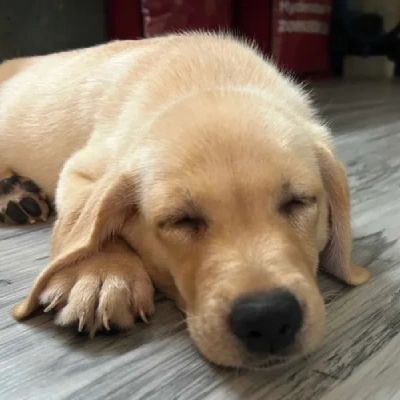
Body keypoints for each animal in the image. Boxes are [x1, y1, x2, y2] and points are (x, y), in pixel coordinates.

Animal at [0, 32, 370, 368]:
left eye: (298, 201)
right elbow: (90, 227)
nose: (267, 319)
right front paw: (99, 273)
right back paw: (13, 192)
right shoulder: (79, 169)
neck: (209, 76)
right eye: (181, 220)